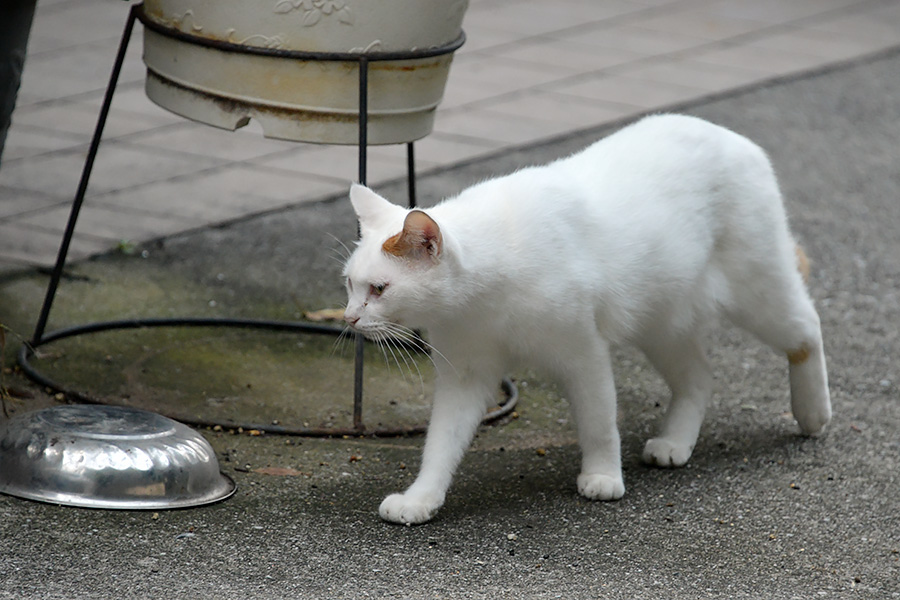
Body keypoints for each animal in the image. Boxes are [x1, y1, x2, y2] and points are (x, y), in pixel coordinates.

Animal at [342, 113, 828, 524]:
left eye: (379, 289)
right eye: (349, 284)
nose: (348, 319)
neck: (481, 301)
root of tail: (732, 135)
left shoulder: (583, 352)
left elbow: (598, 422)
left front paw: (603, 477)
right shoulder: (464, 375)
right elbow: (441, 443)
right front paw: (421, 498)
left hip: (757, 289)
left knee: (806, 329)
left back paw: (813, 414)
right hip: (661, 320)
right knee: (699, 377)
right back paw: (674, 444)